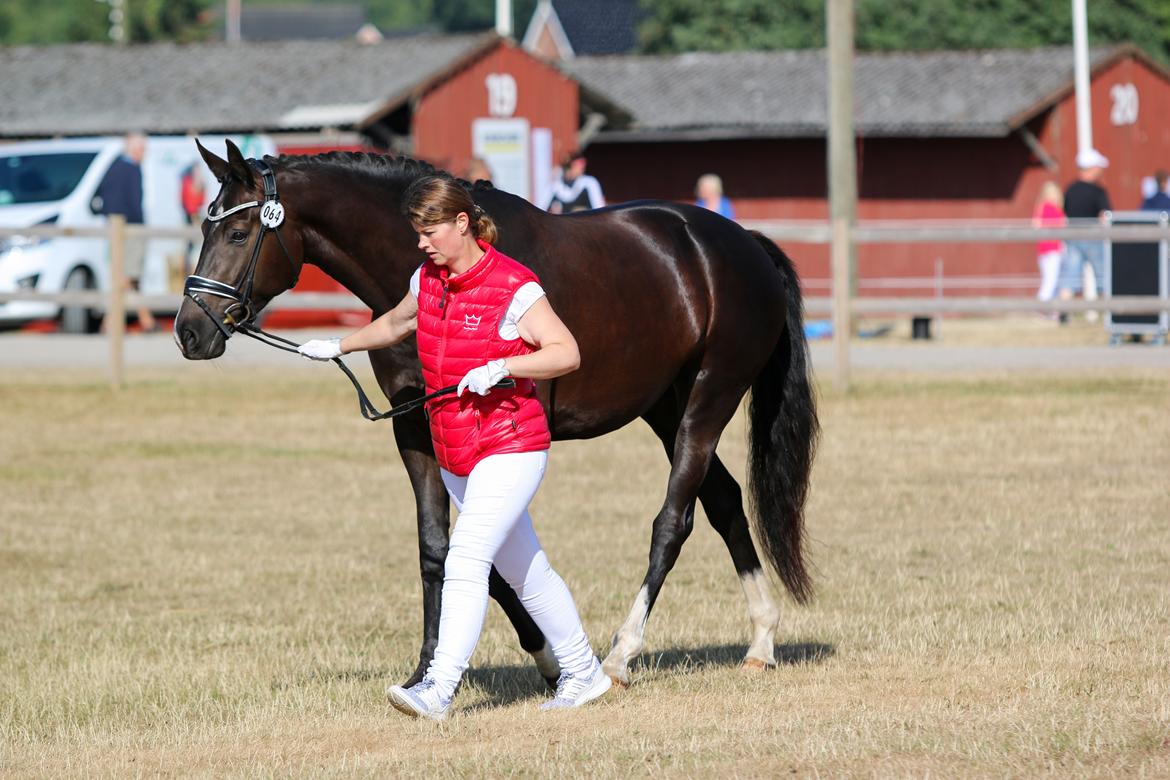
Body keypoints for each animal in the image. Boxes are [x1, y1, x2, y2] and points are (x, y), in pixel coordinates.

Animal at [177, 140, 819, 687]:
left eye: (237, 231)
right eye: (205, 225)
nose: (189, 332)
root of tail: (741, 242)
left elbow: (488, 548)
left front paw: (549, 660)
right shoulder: (416, 427)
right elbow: (439, 546)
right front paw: (432, 668)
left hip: (709, 398)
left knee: (673, 521)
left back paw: (621, 654)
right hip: (667, 407)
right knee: (723, 500)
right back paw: (761, 642)